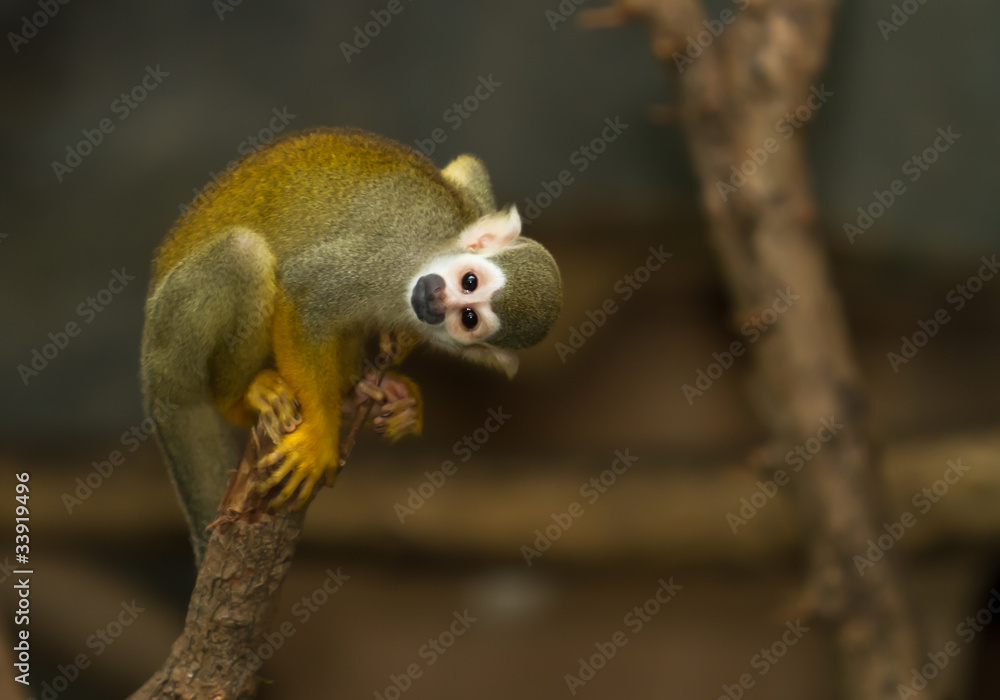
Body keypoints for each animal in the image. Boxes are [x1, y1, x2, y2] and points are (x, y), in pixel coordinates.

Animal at [140, 127, 562, 561]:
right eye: (470, 281)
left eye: (469, 318)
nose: (434, 300)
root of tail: (155, 364)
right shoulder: (383, 262)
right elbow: (304, 295)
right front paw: (321, 438)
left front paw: (400, 345)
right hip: (174, 325)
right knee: (243, 252)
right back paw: (243, 397)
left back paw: (360, 391)